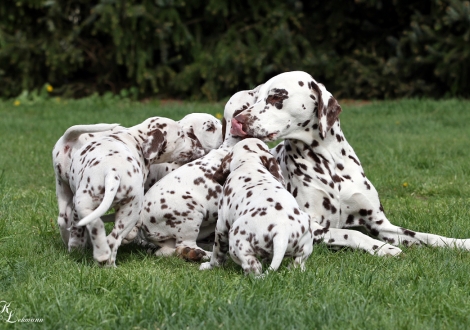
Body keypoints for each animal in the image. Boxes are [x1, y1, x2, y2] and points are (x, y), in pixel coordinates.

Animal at [67, 116, 204, 266]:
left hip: (101, 207)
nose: (196, 143)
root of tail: (113, 172)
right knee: (109, 236)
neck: (134, 138)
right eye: (181, 136)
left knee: (105, 232)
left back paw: (104, 258)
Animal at [140, 84, 264, 260]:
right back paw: (200, 254)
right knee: (183, 247)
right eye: (252, 95)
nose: (260, 86)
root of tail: (144, 222)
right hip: (190, 216)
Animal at [200, 139, 314, 276]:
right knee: (297, 265)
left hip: (237, 240)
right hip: (304, 250)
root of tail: (282, 231)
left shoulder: (221, 226)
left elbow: (217, 252)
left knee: (253, 267)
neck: (249, 163)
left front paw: (209, 265)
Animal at [230, 70, 470, 255]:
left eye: (275, 97)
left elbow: (427, 236)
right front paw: (383, 248)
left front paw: (459, 243)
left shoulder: (381, 225)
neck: (330, 167)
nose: (236, 122)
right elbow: (351, 233)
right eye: (256, 99)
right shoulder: (313, 226)